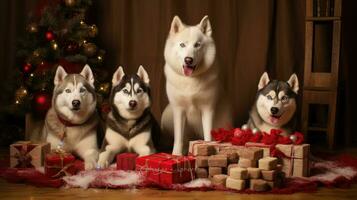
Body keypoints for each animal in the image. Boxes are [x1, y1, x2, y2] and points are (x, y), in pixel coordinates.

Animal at [161, 16, 231, 155]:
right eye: (182, 45)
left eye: (197, 45)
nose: (188, 60)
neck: (190, 80)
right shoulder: (178, 110)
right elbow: (178, 137)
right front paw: (176, 154)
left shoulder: (208, 109)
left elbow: (208, 134)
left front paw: (208, 147)